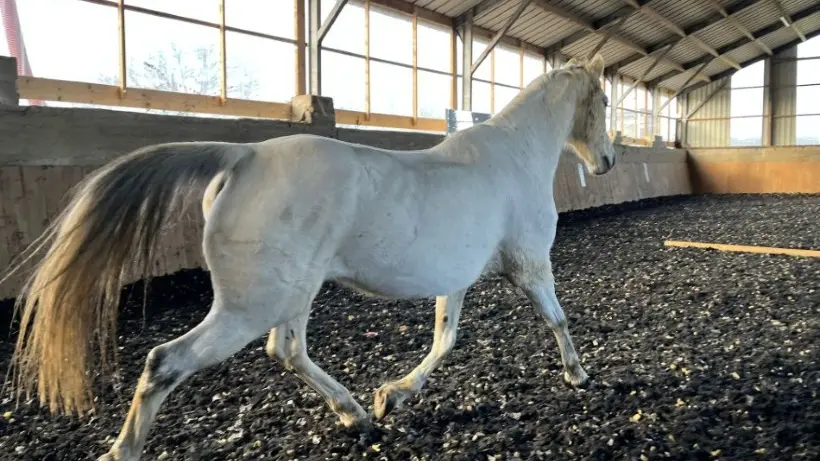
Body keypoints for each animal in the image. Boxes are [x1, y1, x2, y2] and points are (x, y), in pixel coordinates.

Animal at [2, 55, 614, 461]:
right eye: (605, 101)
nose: (607, 162)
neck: (513, 157)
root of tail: (242, 156)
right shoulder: (531, 265)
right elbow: (556, 318)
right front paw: (579, 375)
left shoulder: (459, 277)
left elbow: (445, 337)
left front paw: (393, 396)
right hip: (249, 306)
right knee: (166, 362)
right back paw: (123, 449)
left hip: (291, 295)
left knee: (286, 349)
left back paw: (356, 414)